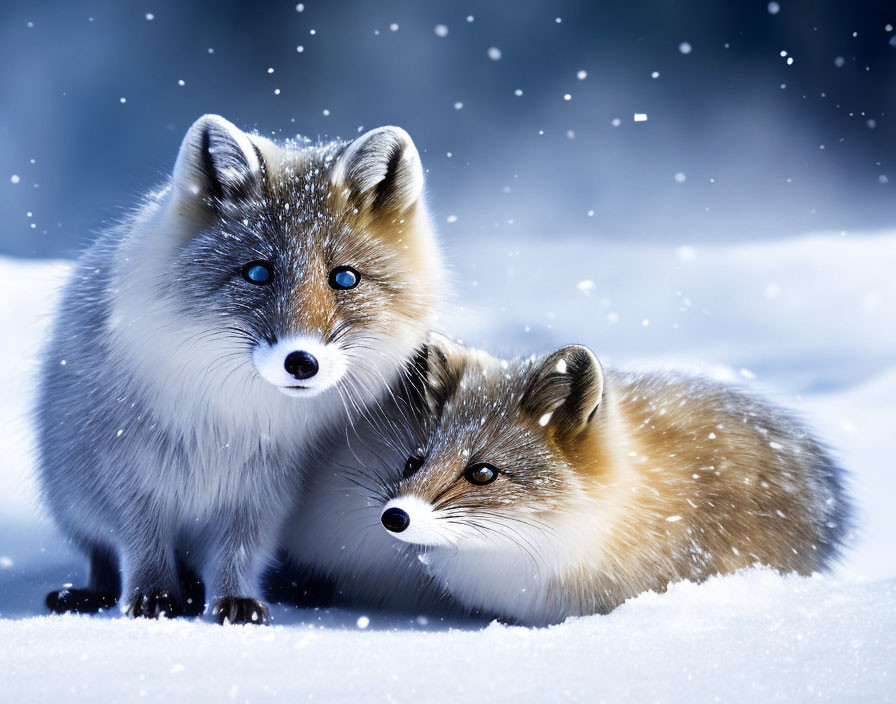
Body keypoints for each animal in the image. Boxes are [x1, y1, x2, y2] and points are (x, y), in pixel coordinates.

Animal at [38, 113, 444, 624]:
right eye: (258, 273)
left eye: (345, 278)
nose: (302, 362)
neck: (230, 421)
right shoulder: (125, 474)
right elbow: (140, 544)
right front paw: (153, 598)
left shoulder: (264, 492)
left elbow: (239, 552)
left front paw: (233, 601)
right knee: (101, 560)